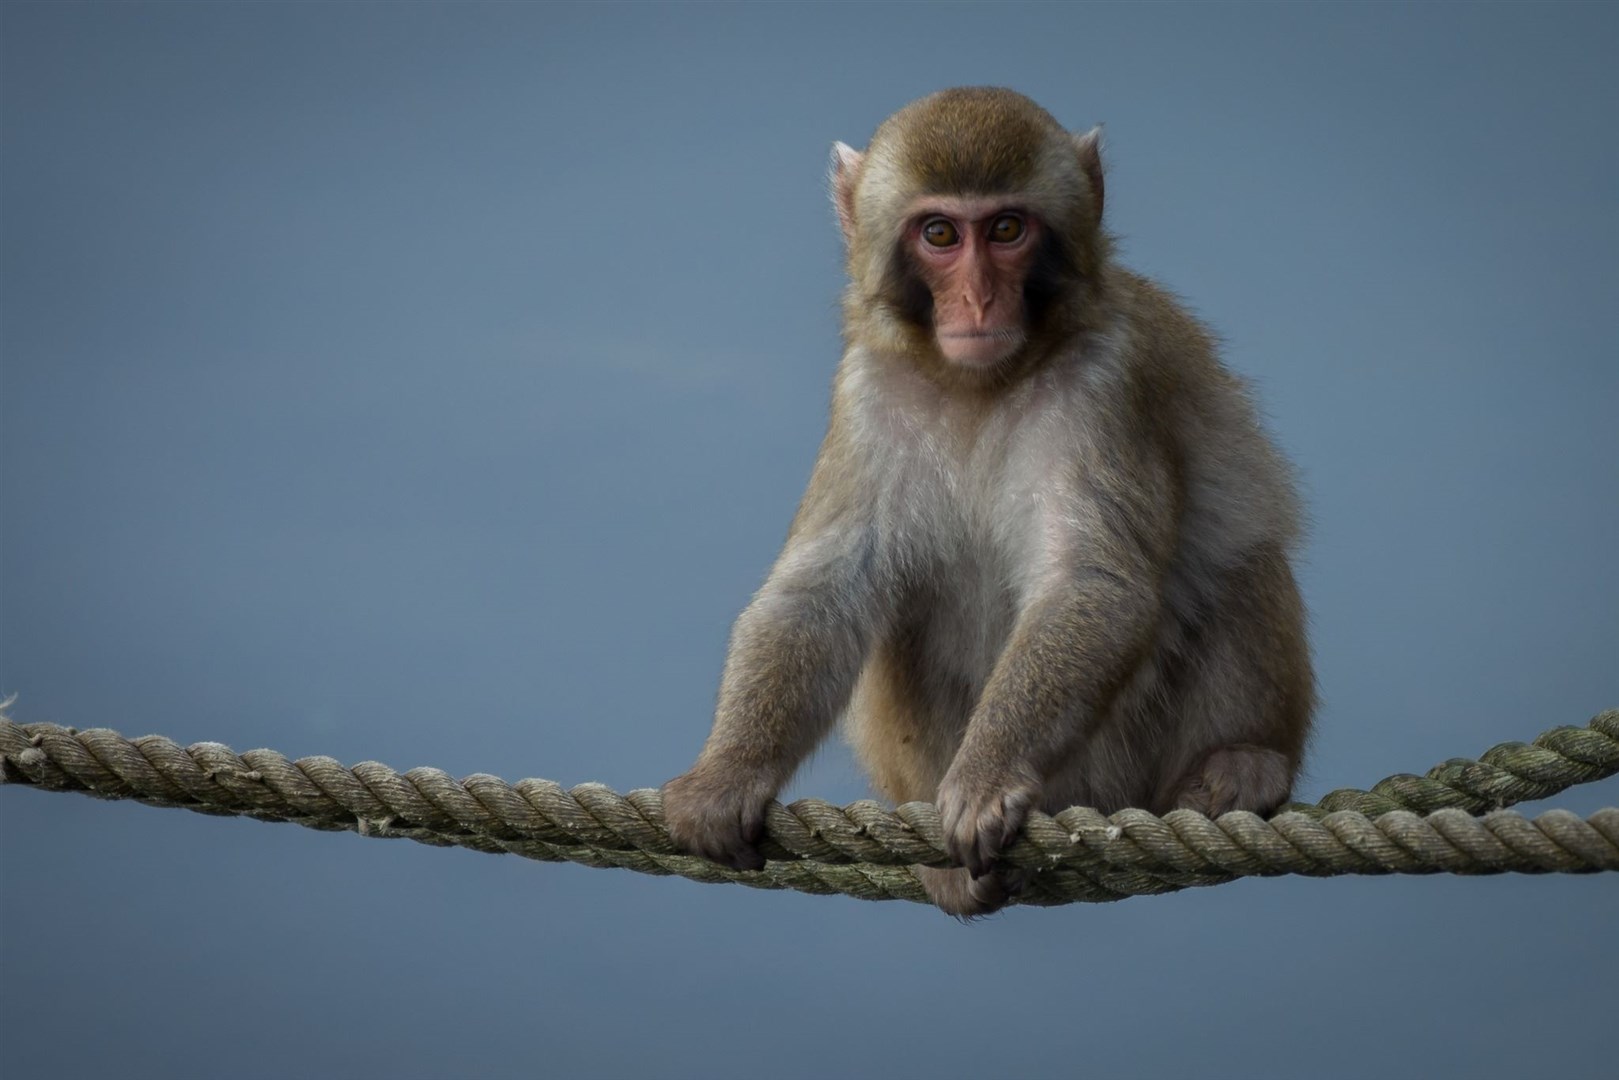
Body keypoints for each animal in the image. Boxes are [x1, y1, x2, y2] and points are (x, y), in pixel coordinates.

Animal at [663, 86, 1308, 913]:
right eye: (939, 233)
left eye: (1005, 229)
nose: (976, 298)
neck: (979, 383)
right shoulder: (866, 388)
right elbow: (822, 592)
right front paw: (726, 776)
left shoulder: (1106, 380)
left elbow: (1090, 582)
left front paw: (986, 774)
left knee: (1240, 561)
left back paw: (1243, 765)